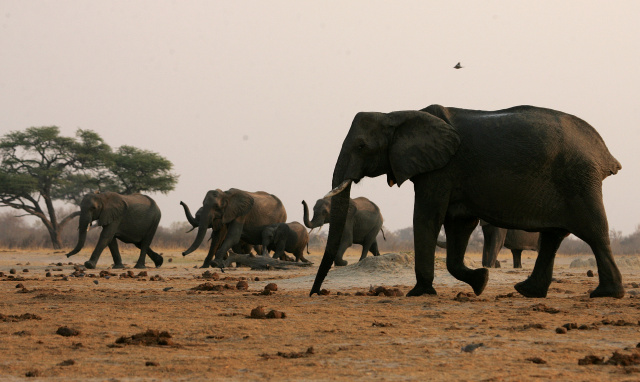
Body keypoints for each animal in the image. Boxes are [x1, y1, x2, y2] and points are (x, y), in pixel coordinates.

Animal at [312, 103, 624, 298]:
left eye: (361, 146)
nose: (317, 293)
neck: (396, 114)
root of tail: (605, 153)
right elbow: (458, 224)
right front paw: (480, 282)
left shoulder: (441, 170)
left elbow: (427, 216)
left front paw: (419, 293)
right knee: (553, 236)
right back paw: (527, 291)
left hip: (579, 179)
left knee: (594, 232)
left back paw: (605, 294)